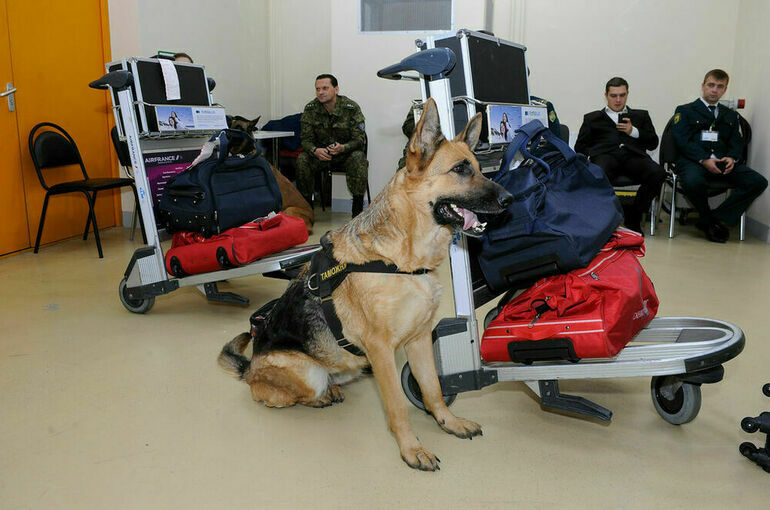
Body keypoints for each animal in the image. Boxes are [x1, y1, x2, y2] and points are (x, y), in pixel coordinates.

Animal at [218, 98, 510, 470]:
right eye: (460, 169)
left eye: (478, 168)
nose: (510, 199)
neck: (402, 260)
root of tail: (250, 368)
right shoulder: (381, 348)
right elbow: (397, 405)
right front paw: (411, 449)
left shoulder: (419, 340)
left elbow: (433, 389)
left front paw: (448, 422)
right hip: (305, 373)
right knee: (282, 395)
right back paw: (321, 396)